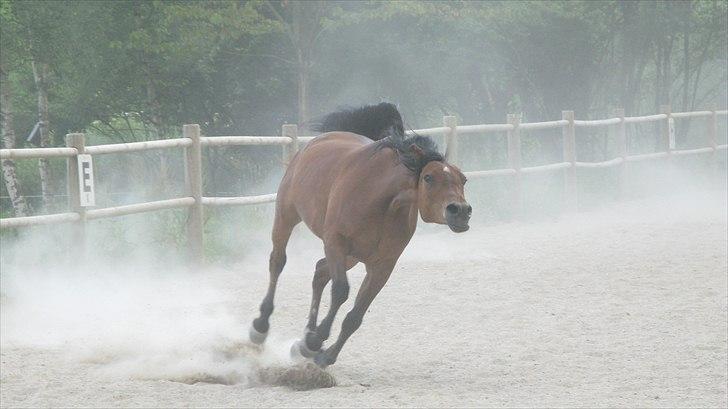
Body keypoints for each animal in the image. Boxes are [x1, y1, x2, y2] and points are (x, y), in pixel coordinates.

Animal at [247, 102, 470, 366]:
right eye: (428, 177)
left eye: (463, 179)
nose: (461, 211)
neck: (383, 203)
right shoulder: (335, 243)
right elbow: (341, 291)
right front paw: (315, 342)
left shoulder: (382, 266)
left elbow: (355, 316)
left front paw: (323, 353)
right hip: (287, 215)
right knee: (278, 262)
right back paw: (261, 327)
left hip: (352, 257)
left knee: (320, 272)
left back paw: (304, 338)